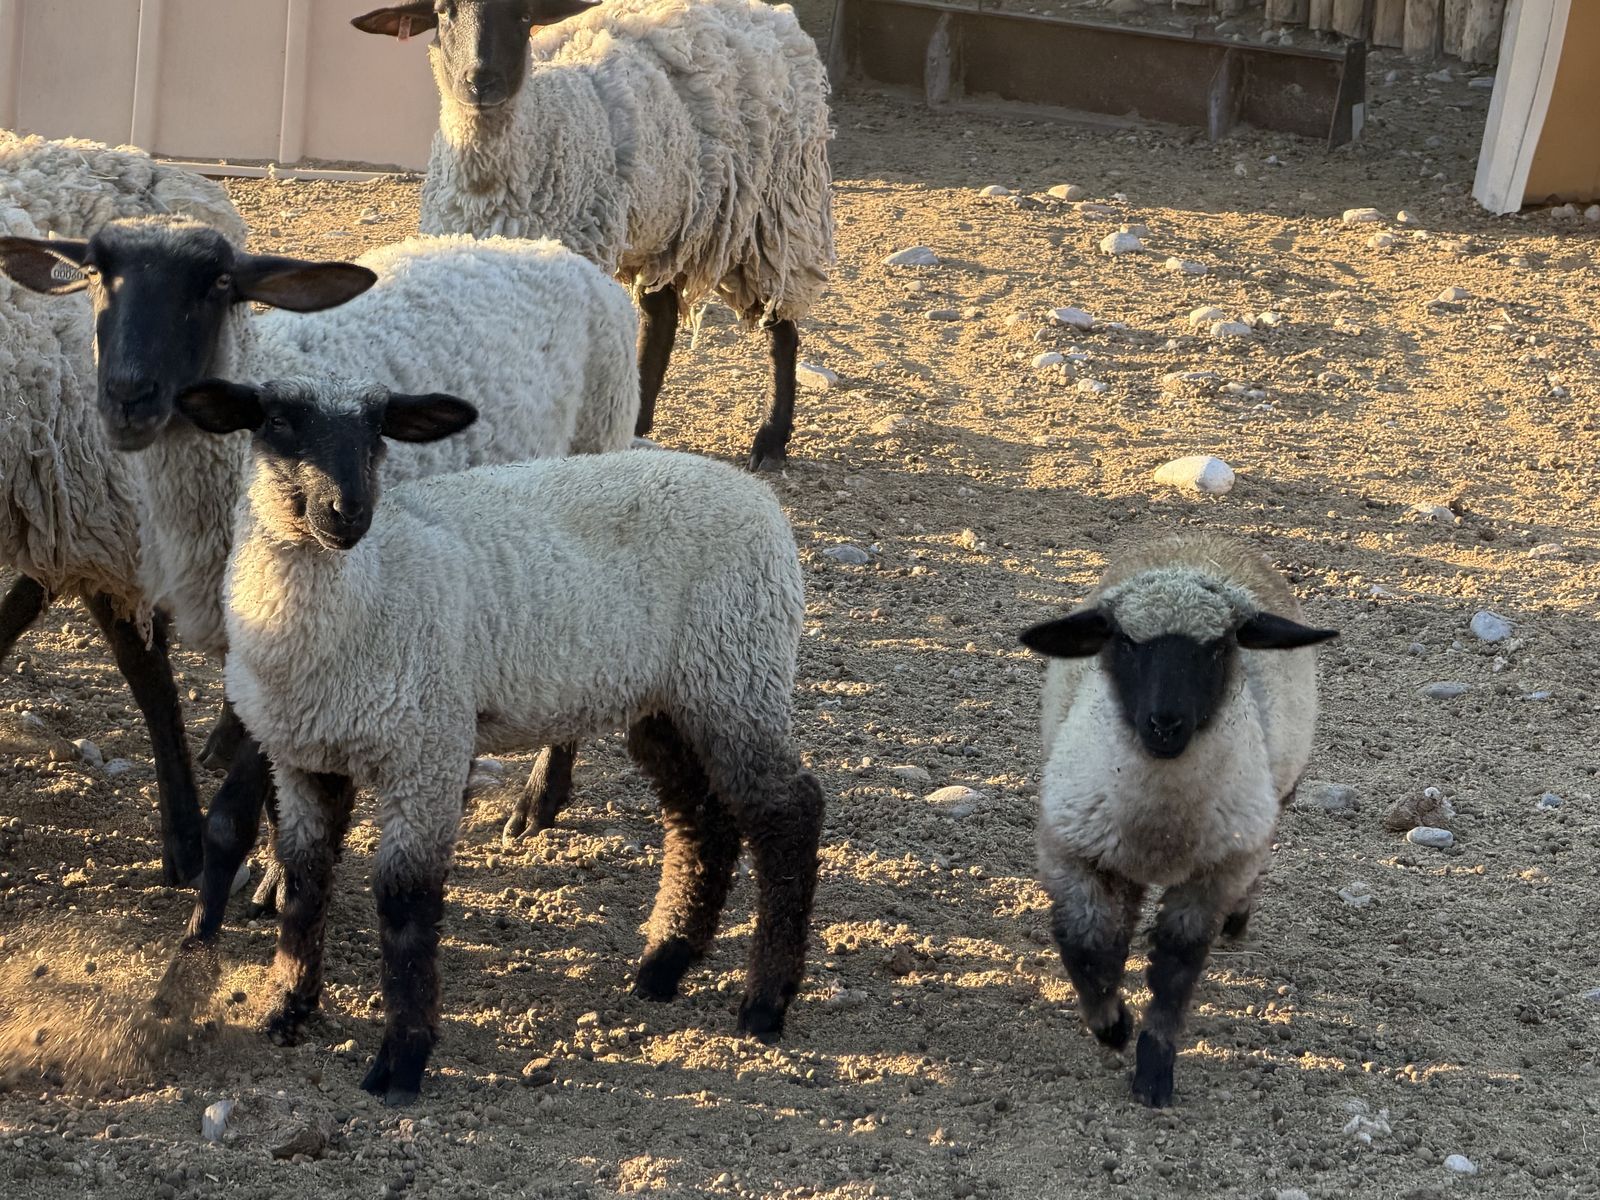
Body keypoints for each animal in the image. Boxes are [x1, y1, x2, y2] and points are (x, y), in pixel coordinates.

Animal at [0, 215, 640, 945]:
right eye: (94, 275)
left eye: (218, 282)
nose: (128, 398)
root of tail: (554, 251)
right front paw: (282, 876)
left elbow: (233, 816)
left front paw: (218, 920)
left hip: (594, 454)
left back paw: (539, 800)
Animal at [167, 374, 823, 1104]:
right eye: (278, 421)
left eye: (377, 429)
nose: (348, 512)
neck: (368, 587)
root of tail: (760, 498)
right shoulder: (305, 759)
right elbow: (305, 882)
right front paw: (287, 1010)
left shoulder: (428, 749)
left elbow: (404, 903)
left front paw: (402, 1062)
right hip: (671, 698)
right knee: (701, 820)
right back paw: (663, 966)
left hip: (738, 667)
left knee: (787, 812)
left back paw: (764, 1003)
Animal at [351, 0, 836, 471]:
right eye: (442, 12)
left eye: (523, 15)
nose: (481, 81)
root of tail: (773, 15)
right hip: (664, 220)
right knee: (661, 317)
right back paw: (640, 420)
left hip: (775, 216)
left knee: (781, 327)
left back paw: (771, 440)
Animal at [1019, 533, 1337, 1107]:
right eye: (1124, 642)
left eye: (1218, 647)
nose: (1165, 724)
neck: (1162, 824)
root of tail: (1202, 538)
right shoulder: (1075, 854)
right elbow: (1084, 946)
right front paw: (1111, 1025)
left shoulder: (1212, 876)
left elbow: (1176, 970)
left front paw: (1153, 1073)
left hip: (1274, 797)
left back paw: (1238, 918)